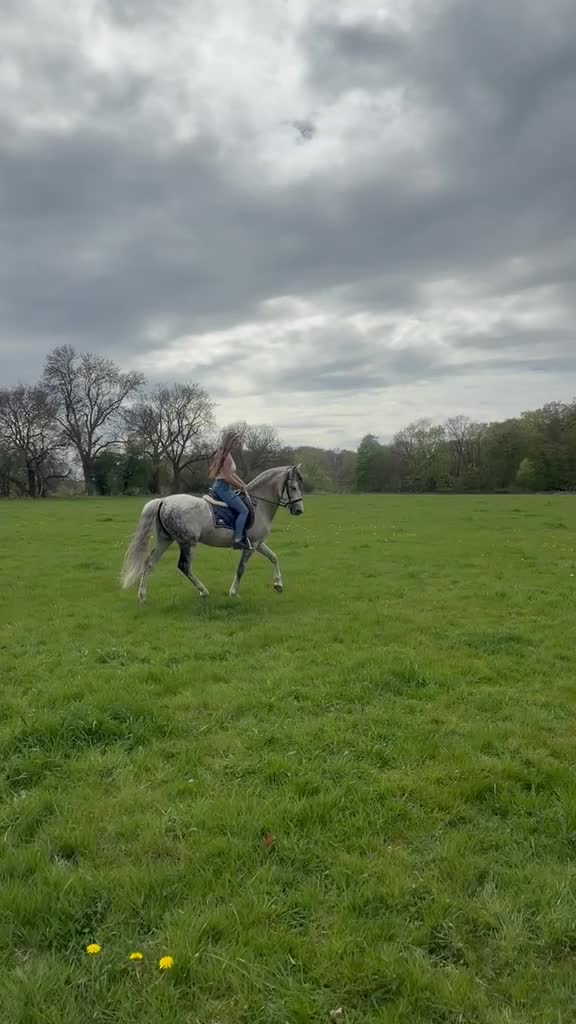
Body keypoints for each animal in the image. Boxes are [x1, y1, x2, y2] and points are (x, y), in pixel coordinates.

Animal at [121, 464, 304, 603]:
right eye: (293, 487)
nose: (299, 510)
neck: (258, 504)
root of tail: (164, 501)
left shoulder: (257, 543)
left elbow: (274, 557)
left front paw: (278, 585)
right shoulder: (251, 546)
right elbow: (241, 568)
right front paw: (233, 593)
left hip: (165, 539)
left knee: (149, 563)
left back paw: (142, 596)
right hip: (188, 542)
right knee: (184, 566)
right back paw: (203, 591)